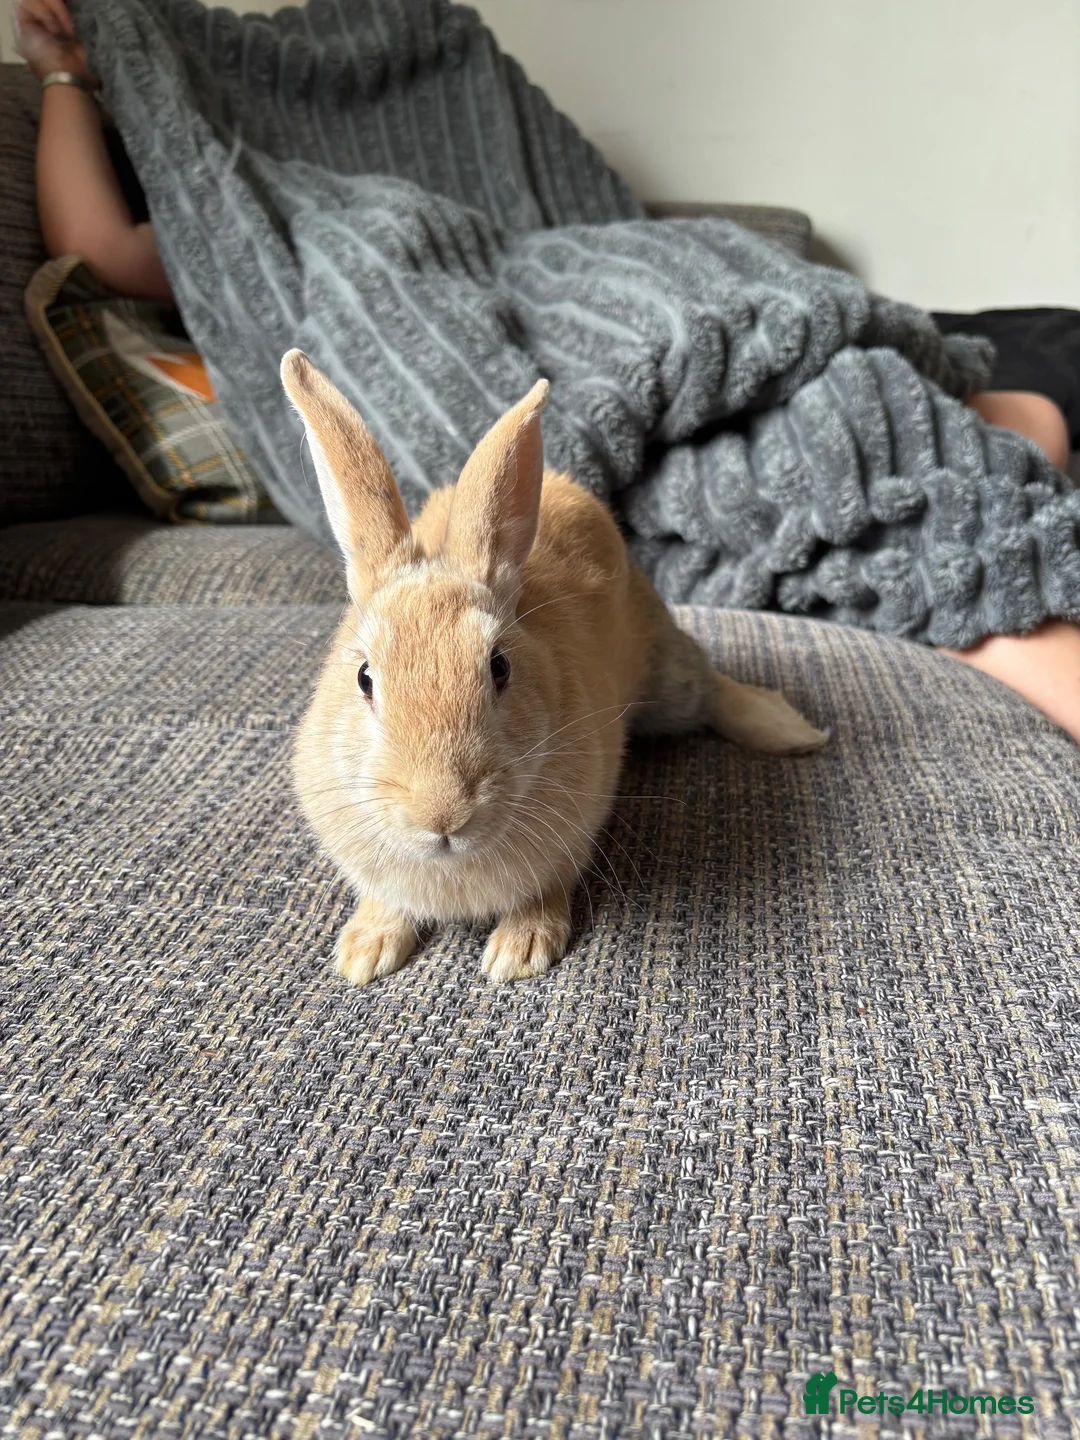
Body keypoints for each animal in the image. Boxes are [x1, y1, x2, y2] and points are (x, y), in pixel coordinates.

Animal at [282, 350, 828, 985]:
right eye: (364, 678)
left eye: (499, 668)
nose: (441, 813)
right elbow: (384, 901)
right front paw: (363, 953)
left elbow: (546, 889)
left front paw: (520, 953)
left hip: (668, 685)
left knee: (713, 688)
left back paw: (790, 730)